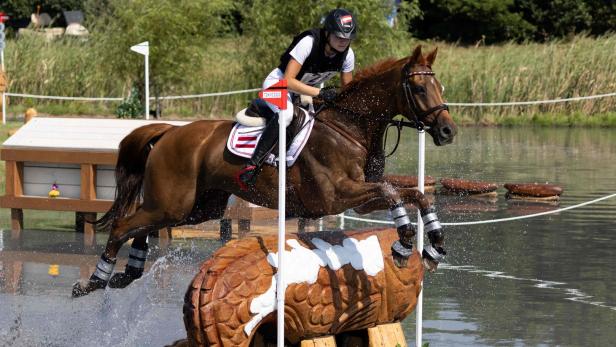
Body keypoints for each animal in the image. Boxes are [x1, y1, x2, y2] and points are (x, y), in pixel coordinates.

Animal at [72, 44, 458, 298]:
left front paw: (435, 245)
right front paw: (405, 242)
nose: (447, 131)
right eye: (419, 87)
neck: (349, 128)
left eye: (440, 86)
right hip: (173, 201)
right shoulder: (336, 196)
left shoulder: (360, 199)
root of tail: (169, 131)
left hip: (195, 208)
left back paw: (129, 271)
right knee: (123, 224)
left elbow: (416, 194)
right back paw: (94, 280)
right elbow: (394, 192)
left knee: (142, 225)